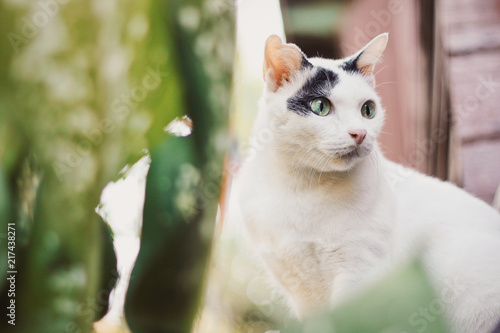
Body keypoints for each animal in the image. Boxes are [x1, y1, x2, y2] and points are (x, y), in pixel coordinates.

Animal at [237, 31, 500, 332]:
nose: (360, 133)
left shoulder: (360, 273)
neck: (301, 188)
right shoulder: (299, 288)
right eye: (320, 106)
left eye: (368, 110)